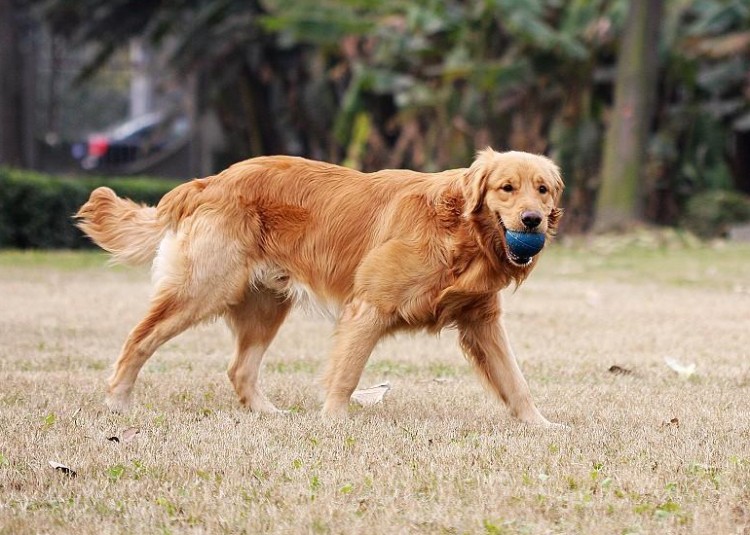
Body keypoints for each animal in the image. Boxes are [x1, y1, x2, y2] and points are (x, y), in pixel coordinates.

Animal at [79, 149, 568, 426]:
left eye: (542, 189)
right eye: (507, 188)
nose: (532, 220)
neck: (460, 234)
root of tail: (210, 180)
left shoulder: (483, 321)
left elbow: (516, 381)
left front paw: (540, 425)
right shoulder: (368, 309)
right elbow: (347, 374)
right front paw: (333, 422)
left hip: (266, 305)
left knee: (240, 369)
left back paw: (269, 415)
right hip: (201, 291)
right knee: (139, 340)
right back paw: (117, 401)